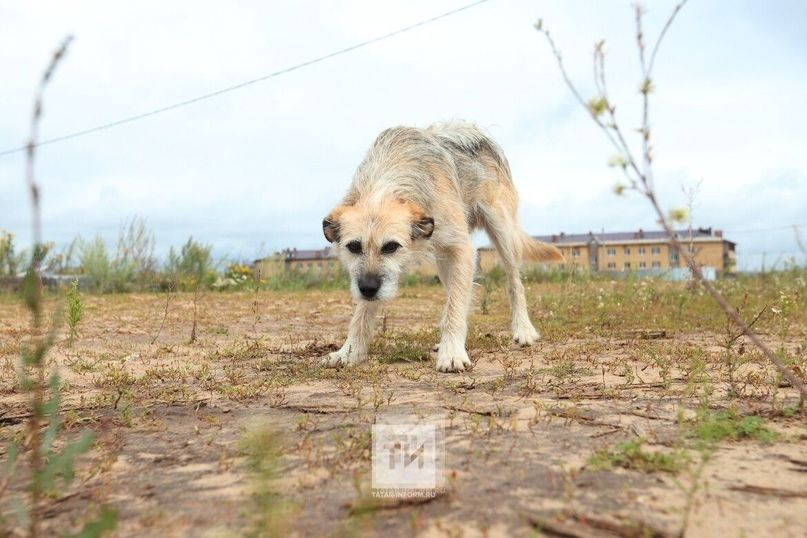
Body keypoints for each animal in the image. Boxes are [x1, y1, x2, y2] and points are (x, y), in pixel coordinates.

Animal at [322, 121, 560, 370]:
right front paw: (349, 352)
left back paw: (523, 330)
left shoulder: (462, 250)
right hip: (444, 261)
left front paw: (452, 353)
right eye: (354, 247)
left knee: (514, 284)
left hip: (502, 233)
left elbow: (457, 304)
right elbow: (362, 313)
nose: (368, 288)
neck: (386, 182)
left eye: (391, 246)